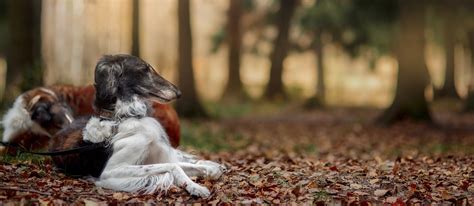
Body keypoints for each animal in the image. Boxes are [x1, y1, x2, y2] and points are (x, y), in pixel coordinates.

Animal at [51, 55, 225, 198]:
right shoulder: (111, 171)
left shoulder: (157, 154)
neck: (127, 118)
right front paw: (196, 187)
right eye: (144, 69)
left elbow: (181, 163)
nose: (179, 93)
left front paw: (206, 174)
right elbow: (173, 165)